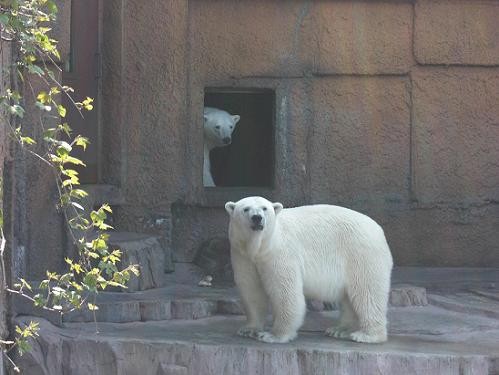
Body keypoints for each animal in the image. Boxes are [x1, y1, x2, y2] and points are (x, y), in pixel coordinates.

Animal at [226, 198, 394, 346]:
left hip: (361, 254)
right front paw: (248, 329)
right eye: (245, 209)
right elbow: (251, 290)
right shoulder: (242, 256)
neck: (260, 247)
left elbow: (284, 292)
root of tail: (379, 231)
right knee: (350, 297)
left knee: (367, 293)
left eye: (264, 208)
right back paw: (340, 330)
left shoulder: (280, 254)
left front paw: (273, 336)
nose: (257, 218)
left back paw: (367, 335)